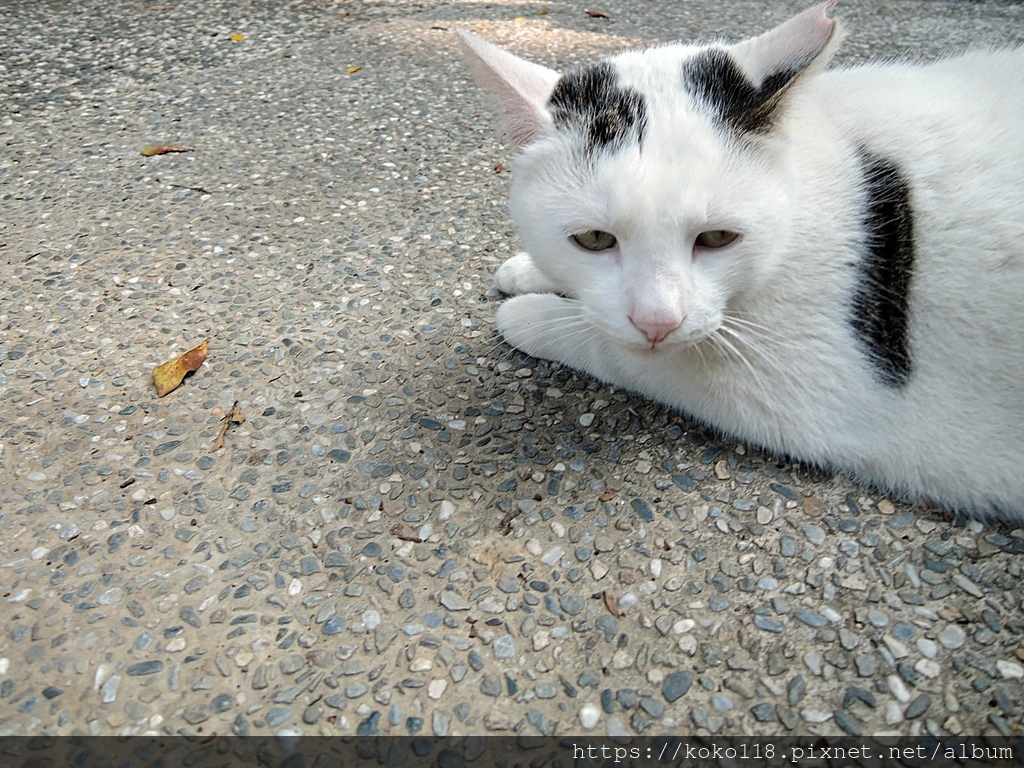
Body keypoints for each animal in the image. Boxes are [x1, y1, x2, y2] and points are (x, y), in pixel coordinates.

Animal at [460, 1, 1024, 524]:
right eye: (594, 239)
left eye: (718, 238)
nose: (657, 322)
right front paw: (527, 270)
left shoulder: (817, 388)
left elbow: (622, 353)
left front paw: (530, 315)